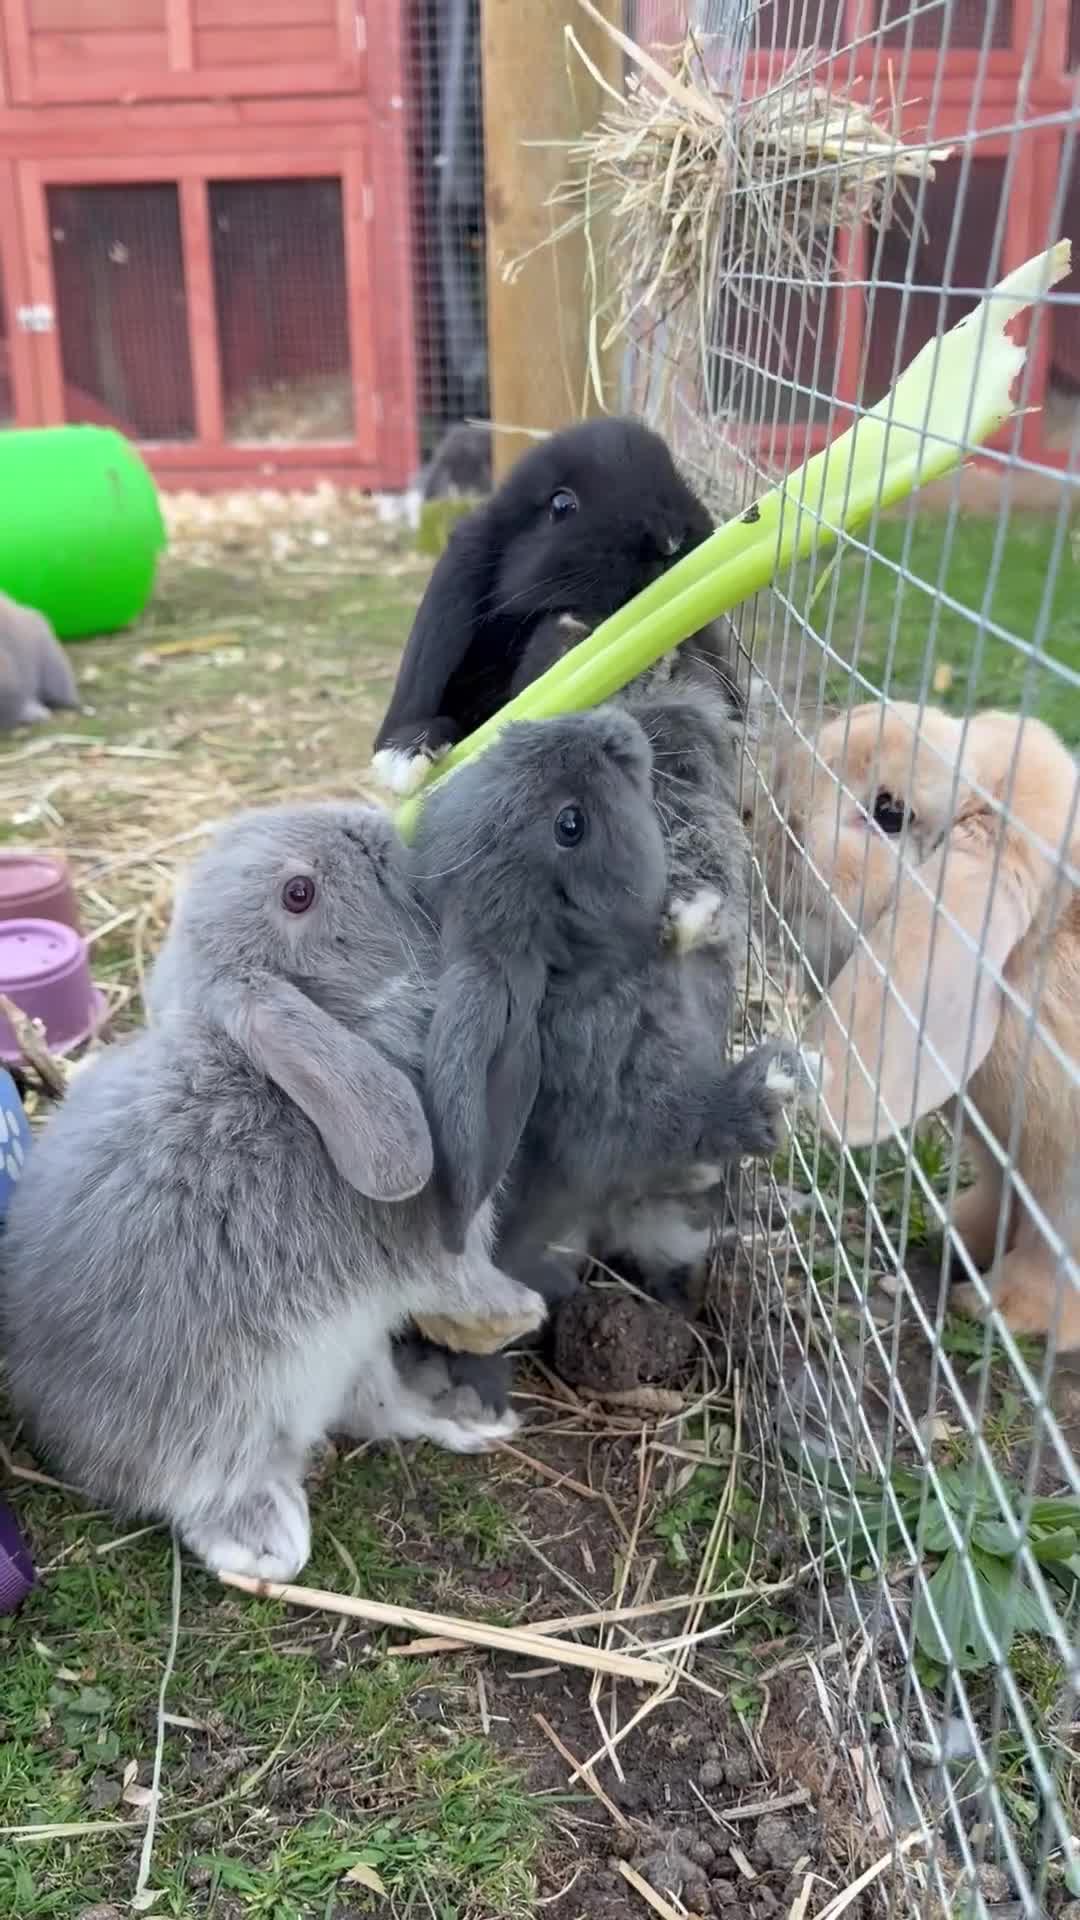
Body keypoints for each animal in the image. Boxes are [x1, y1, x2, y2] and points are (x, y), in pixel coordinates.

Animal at [0, 802, 549, 1580]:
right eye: (298, 894)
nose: (370, 824)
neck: (341, 1025)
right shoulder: (425, 1243)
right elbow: (463, 1282)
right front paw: (518, 1316)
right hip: (224, 1410)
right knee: (201, 1483)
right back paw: (266, 1538)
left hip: (350, 1358)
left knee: (380, 1411)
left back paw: (463, 1417)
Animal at [409, 708, 820, 1291]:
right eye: (570, 825)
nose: (609, 725)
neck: (592, 972)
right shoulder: (618, 1102)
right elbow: (674, 1125)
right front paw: (774, 1083)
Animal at [768, 699, 1080, 1349]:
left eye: (889, 813)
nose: (767, 813)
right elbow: (1000, 1200)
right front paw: (960, 1232)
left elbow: (1052, 1251)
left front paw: (999, 1306)